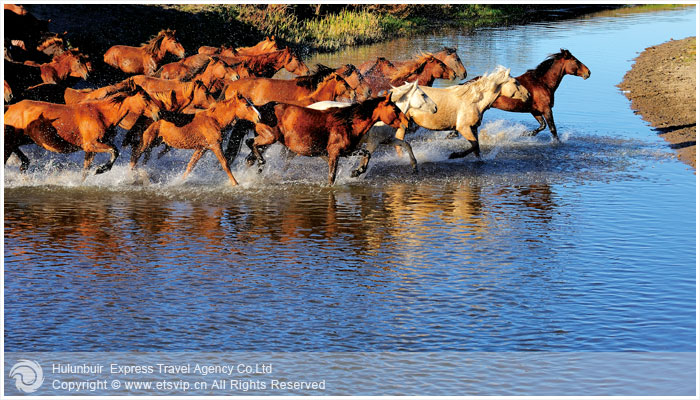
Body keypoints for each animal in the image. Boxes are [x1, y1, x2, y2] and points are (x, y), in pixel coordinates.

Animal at [4, 85, 160, 174]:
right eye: (145, 97)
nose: (158, 113)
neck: (100, 114)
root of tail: (10, 107)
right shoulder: (91, 145)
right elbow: (115, 151)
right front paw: (101, 170)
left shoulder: (91, 150)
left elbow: (85, 171)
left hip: (22, 140)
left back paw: (24, 165)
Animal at [130, 92, 262, 186]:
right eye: (247, 105)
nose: (259, 117)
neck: (214, 120)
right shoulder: (215, 146)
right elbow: (225, 164)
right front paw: (235, 183)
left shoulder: (201, 148)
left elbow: (190, 166)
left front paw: (180, 181)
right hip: (147, 141)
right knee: (135, 156)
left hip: (155, 143)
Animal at [247, 94, 408, 186]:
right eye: (395, 109)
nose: (407, 122)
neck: (348, 122)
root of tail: (261, 109)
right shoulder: (334, 153)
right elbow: (331, 177)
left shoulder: (347, 151)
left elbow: (366, 154)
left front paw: (356, 172)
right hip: (270, 137)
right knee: (251, 142)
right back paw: (260, 163)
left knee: (251, 146)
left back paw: (256, 165)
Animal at [396, 65, 528, 160]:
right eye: (515, 82)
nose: (528, 95)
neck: (473, 101)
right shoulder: (463, 128)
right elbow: (474, 145)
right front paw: (453, 155)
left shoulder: (473, 127)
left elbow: (477, 148)